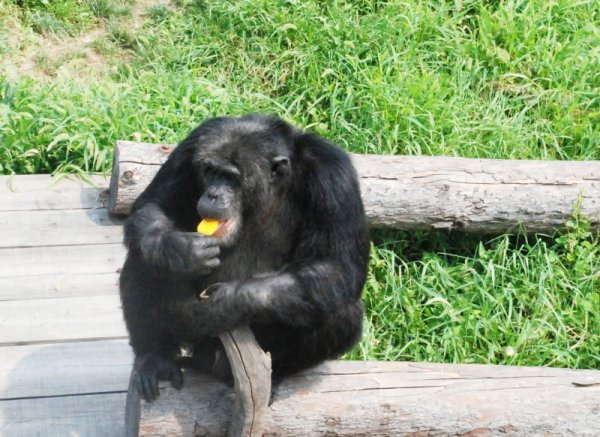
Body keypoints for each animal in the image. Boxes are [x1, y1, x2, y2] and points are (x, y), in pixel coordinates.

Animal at [119, 114, 368, 400]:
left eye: (231, 177)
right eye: (210, 170)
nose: (213, 194)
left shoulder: (334, 176)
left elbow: (338, 266)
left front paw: (227, 301)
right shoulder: (191, 145)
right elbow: (155, 204)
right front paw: (178, 249)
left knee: (340, 311)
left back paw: (275, 374)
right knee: (144, 261)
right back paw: (155, 358)